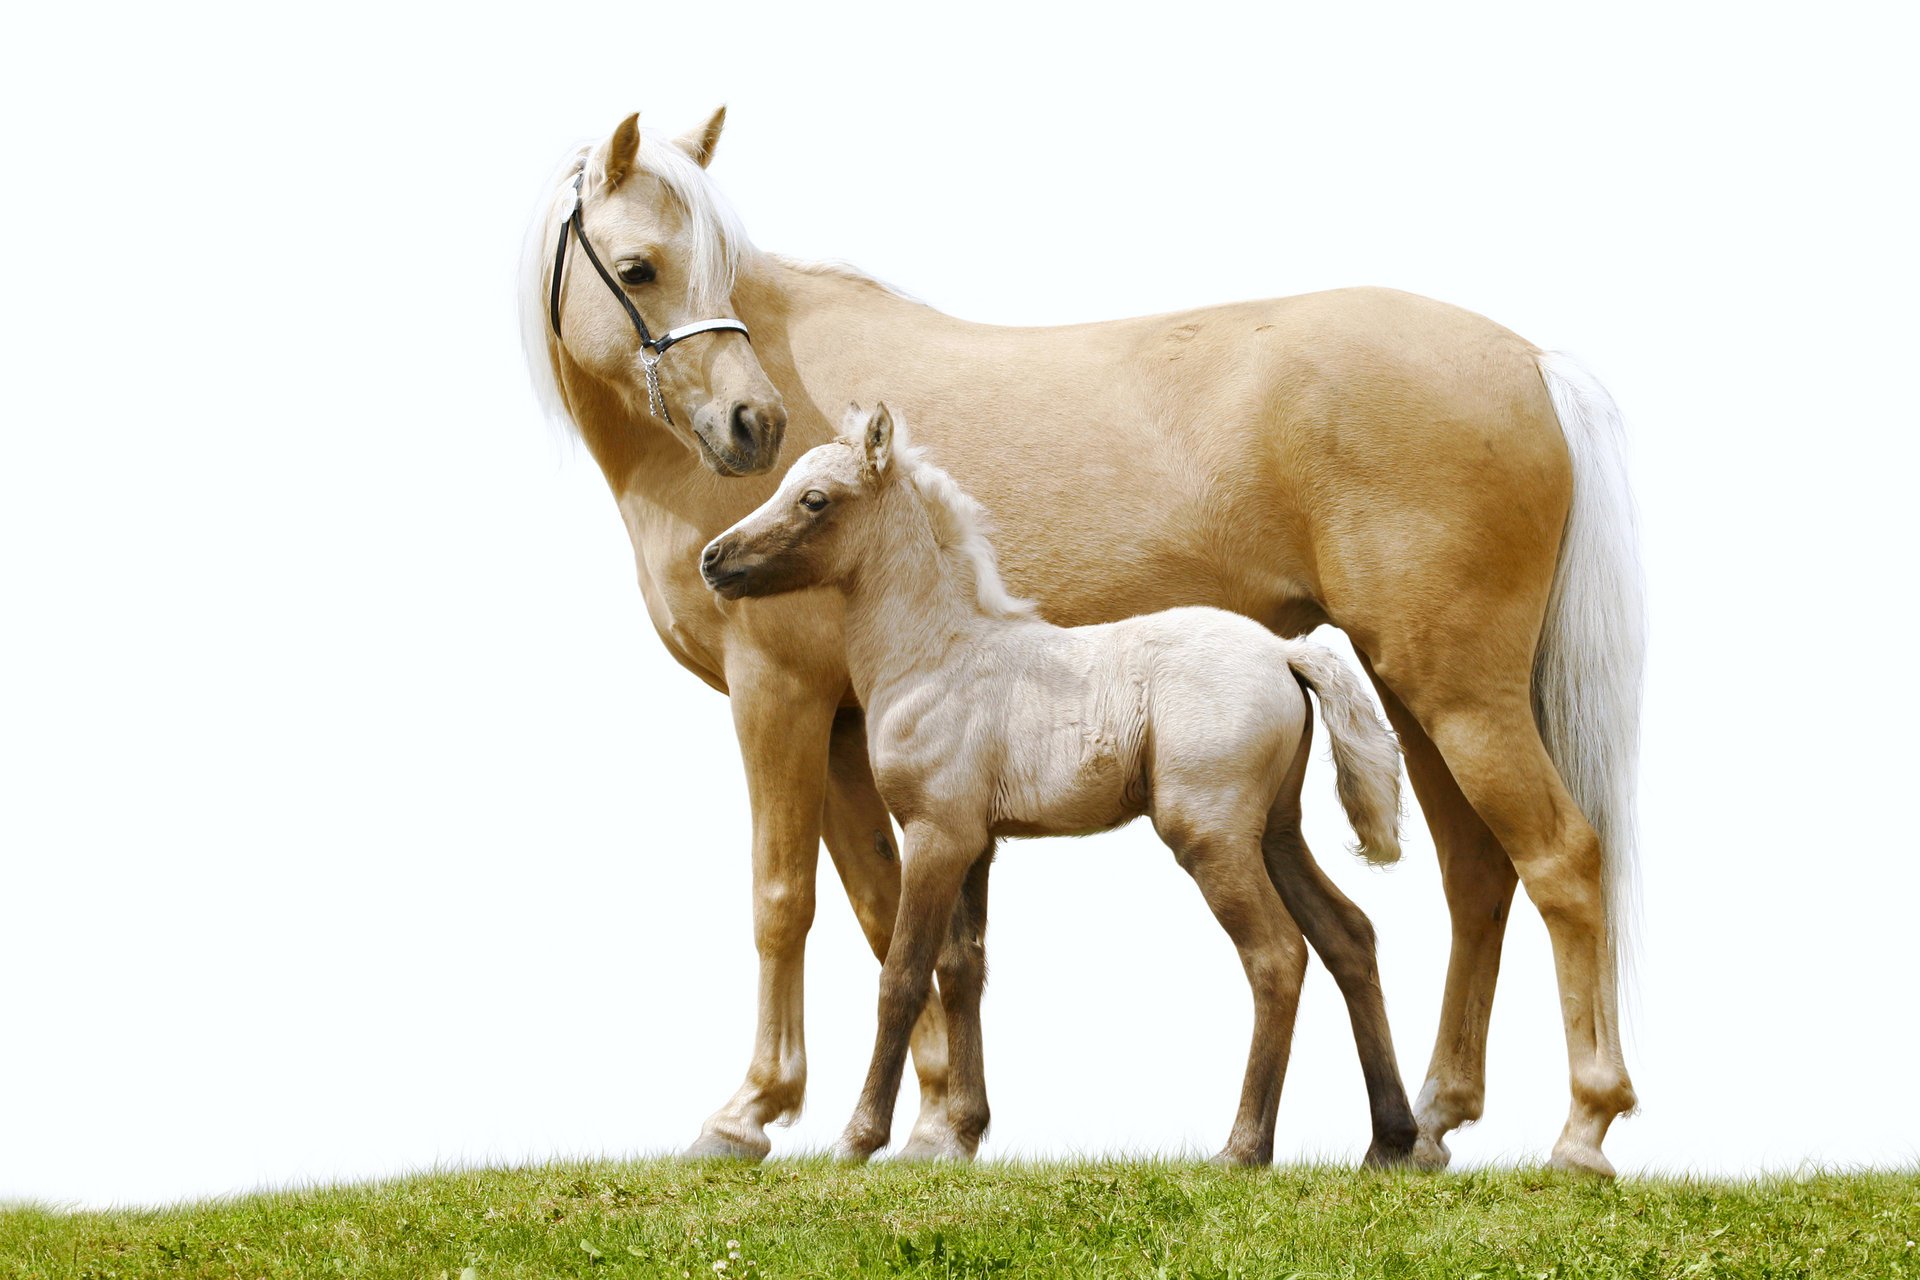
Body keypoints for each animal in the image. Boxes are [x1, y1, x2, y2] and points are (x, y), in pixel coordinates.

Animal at [701, 403, 1413, 1166]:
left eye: (814, 499)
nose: (713, 559)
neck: (936, 657)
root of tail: (1284, 651)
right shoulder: (975, 844)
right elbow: (961, 967)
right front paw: (959, 1133)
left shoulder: (935, 835)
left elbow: (902, 972)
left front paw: (860, 1138)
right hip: (1275, 832)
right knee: (1348, 935)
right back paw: (1392, 1141)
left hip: (1211, 836)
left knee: (1278, 957)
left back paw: (1243, 1148)